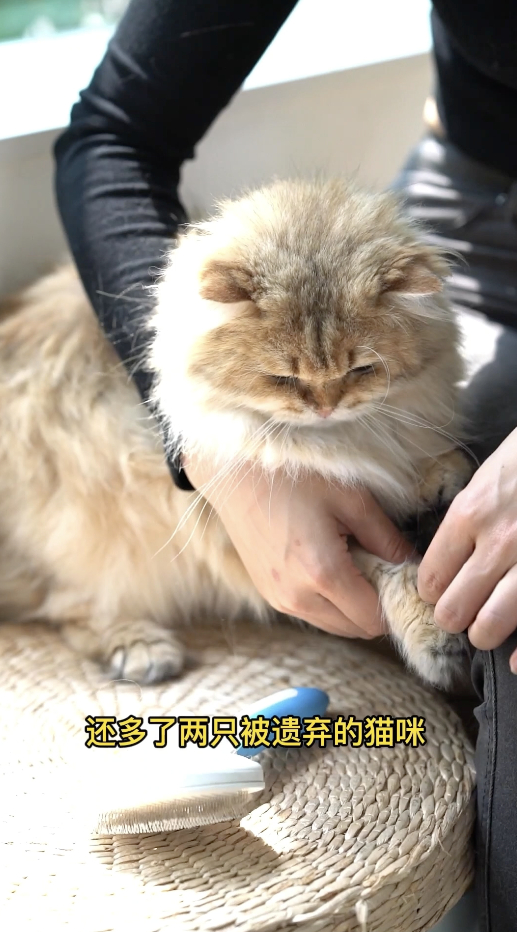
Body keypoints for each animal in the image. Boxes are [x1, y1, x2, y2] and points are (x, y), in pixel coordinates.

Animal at [0, 178, 472, 689]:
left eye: (362, 370)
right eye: (283, 379)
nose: (325, 407)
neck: (330, 438)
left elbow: (413, 459)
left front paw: (442, 474)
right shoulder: (272, 540)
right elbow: (388, 569)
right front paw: (432, 633)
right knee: (71, 609)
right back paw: (141, 650)